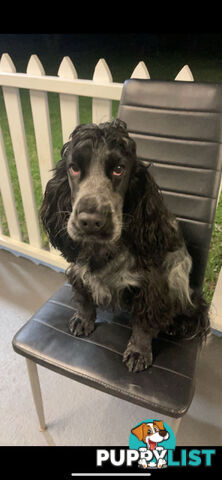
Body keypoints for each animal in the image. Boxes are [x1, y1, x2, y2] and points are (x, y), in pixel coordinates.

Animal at [40, 118, 210, 374]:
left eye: (118, 169)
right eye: (74, 167)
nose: (90, 221)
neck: (104, 250)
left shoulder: (152, 286)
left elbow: (144, 323)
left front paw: (139, 352)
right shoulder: (79, 272)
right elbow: (84, 298)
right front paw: (83, 320)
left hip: (179, 280)